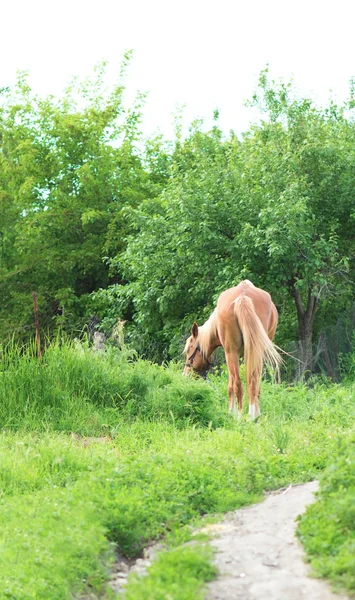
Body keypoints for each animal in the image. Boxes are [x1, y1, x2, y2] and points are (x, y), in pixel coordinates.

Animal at [185, 280, 282, 418]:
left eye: (189, 349)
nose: (185, 374)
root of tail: (243, 297)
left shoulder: (229, 354)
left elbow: (230, 386)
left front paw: (231, 412)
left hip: (232, 353)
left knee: (238, 384)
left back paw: (240, 417)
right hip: (252, 352)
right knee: (253, 383)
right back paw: (253, 417)